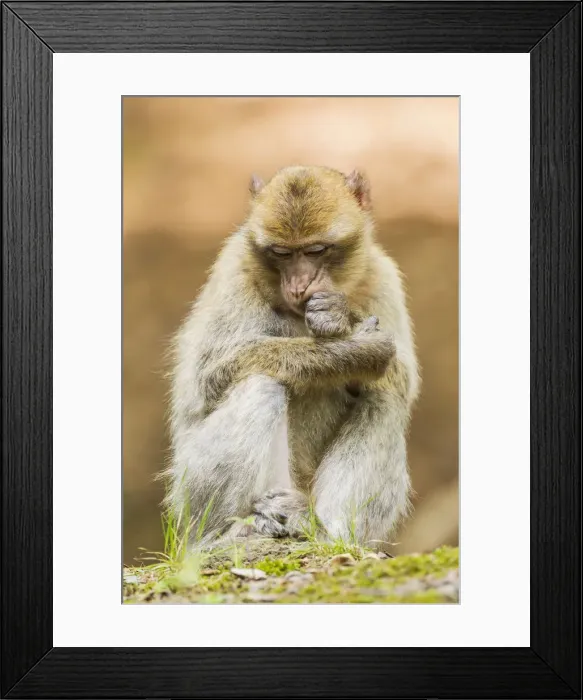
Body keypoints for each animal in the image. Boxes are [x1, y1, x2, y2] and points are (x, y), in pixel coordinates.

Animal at [165, 165, 420, 549]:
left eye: (316, 250)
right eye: (282, 253)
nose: (299, 286)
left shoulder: (382, 275)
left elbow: (401, 379)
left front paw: (339, 315)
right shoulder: (234, 269)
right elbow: (209, 378)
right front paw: (354, 351)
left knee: (383, 398)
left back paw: (324, 530)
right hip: (189, 494)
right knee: (260, 385)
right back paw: (226, 532)